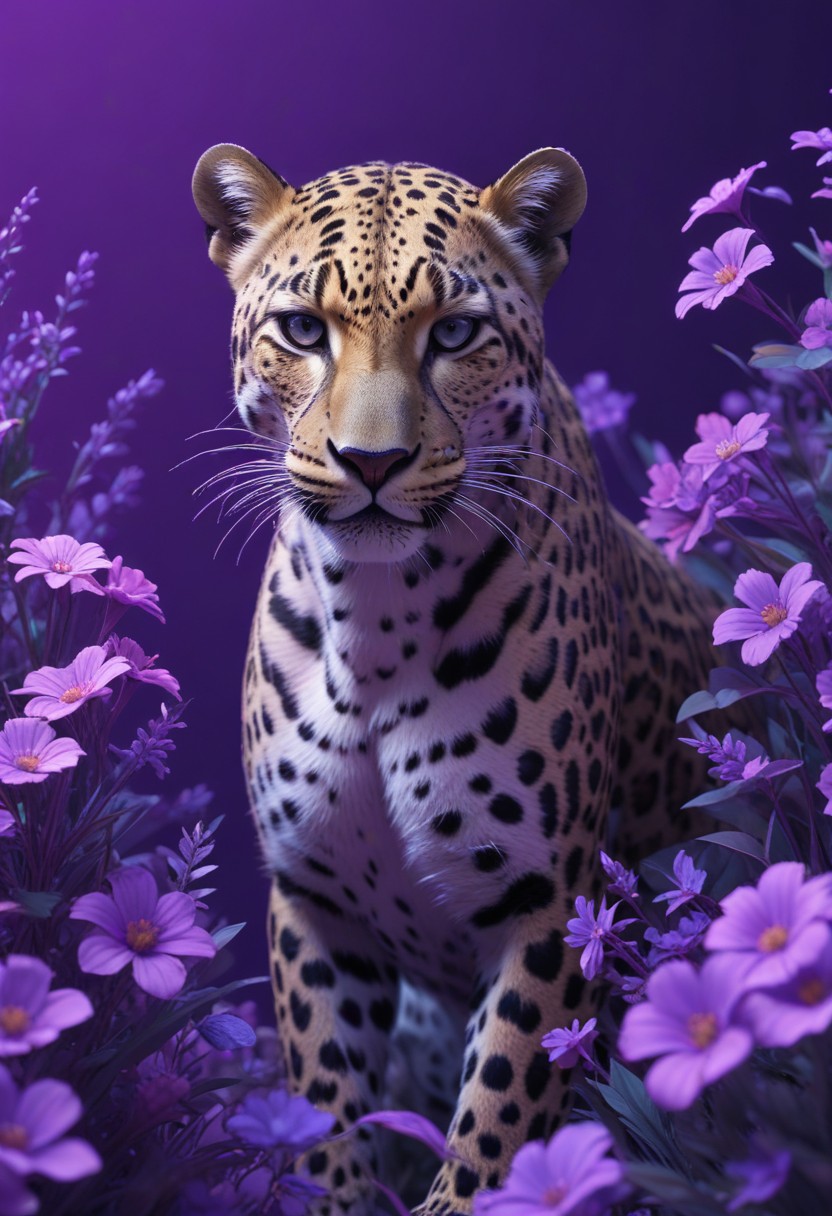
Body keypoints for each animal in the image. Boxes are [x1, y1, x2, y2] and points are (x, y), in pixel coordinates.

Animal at [191, 143, 715, 1214]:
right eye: (302, 331)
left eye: (457, 332)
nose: (373, 462)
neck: (375, 624)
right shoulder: (316, 902)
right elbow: (323, 1109)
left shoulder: (550, 908)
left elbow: (498, 1121)